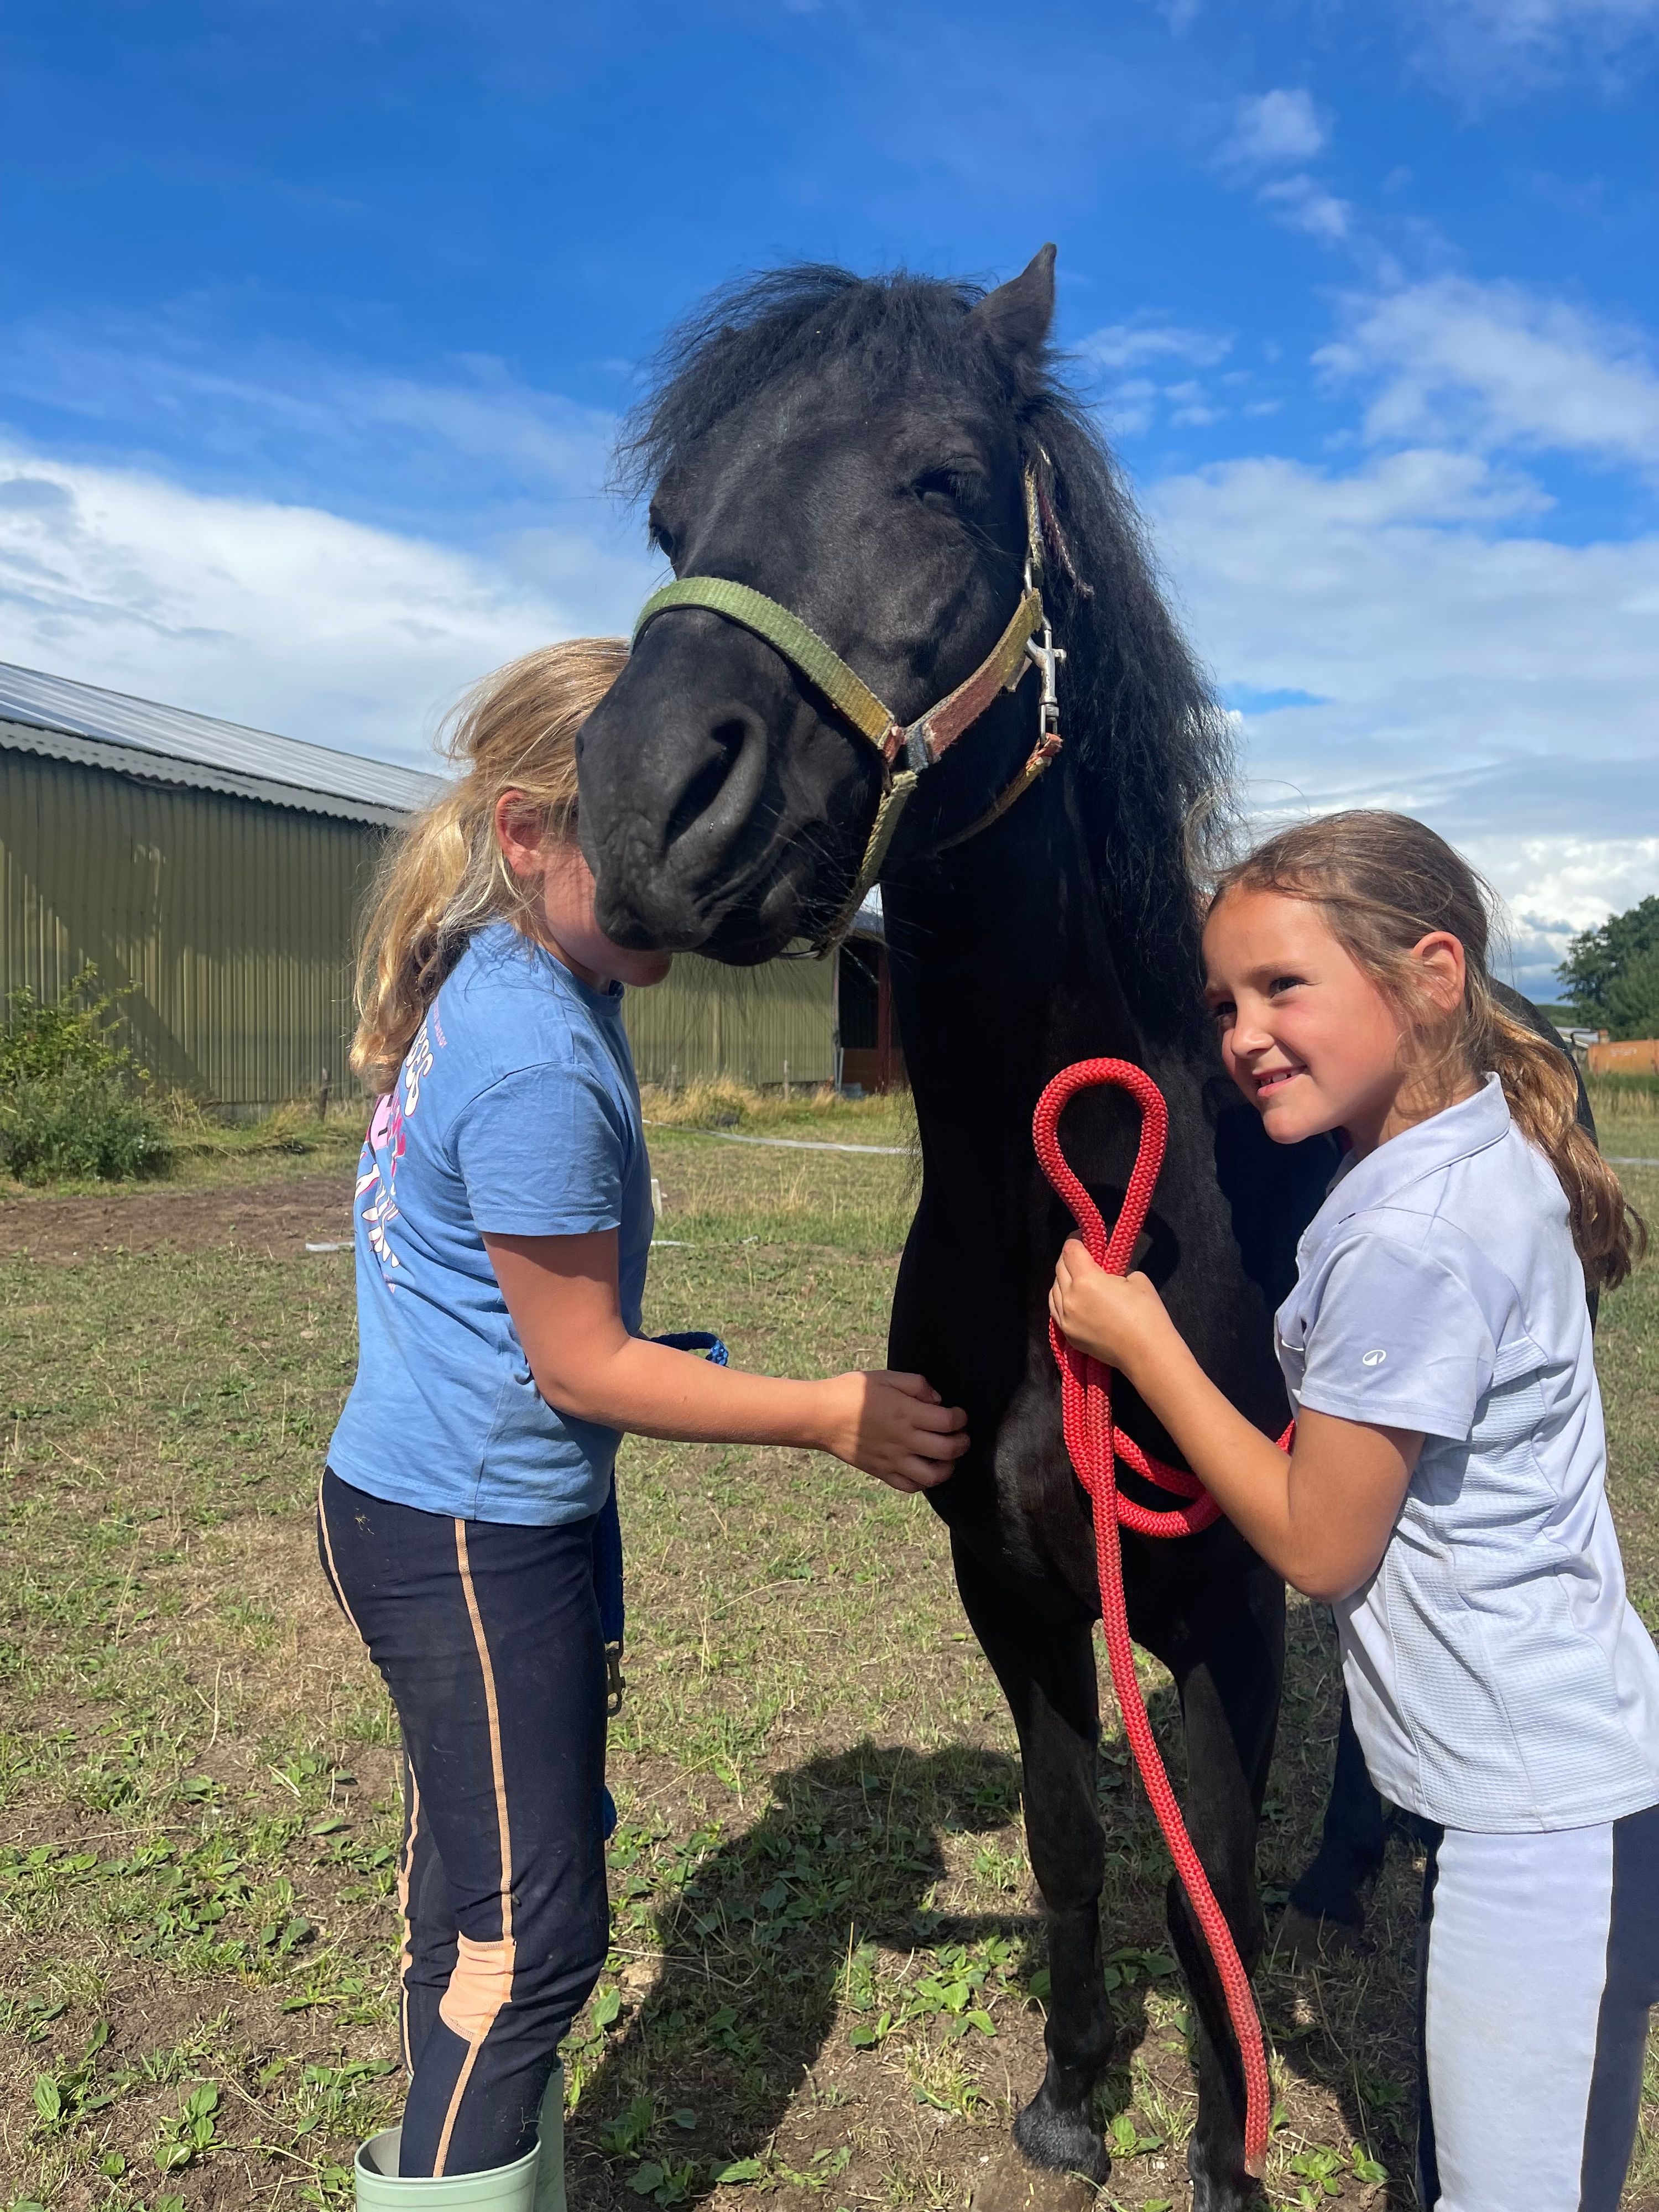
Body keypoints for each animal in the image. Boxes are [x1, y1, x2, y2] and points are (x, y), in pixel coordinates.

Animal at [577, 245, 1353, 2208]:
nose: (642, 802)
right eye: (671, 516)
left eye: (940, 477)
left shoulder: (1228, 1606)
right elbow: (1075, 1844)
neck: (1070, 1224)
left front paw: (1228, 2156)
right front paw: (1076, 2093)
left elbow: (1209, 1888)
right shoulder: (1006, 1587)